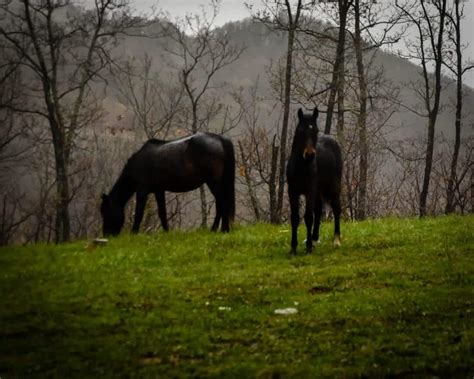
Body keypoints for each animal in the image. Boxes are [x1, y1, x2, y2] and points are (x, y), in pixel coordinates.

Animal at [100, 132, 235, 236]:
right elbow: (162, 212)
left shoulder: (142, 189)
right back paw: (219, 229)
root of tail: (220, 139)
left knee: (223, 203)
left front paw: (133, 233)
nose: (107, 235)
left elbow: (139, 213)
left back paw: (222, 230)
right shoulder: (159, 190)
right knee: (221, 204)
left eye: (105, 212)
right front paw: (166, 232)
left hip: (213, 182)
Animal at [286, 107, 340, 255]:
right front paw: (293, 248)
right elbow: (295, 218)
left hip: (333, 187)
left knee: (336, 208)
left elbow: (308, 217)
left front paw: (308, 247)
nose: (309, 155)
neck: (300, 167)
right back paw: (315, 239)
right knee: (319, 208)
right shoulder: (292, 192)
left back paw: (336, 240)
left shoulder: (309, 191)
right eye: (300, 130)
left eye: (315, 130)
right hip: (318, 190)